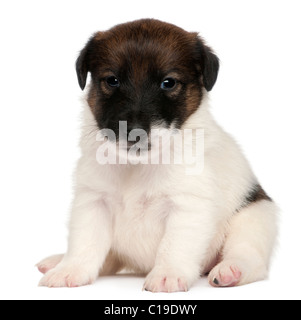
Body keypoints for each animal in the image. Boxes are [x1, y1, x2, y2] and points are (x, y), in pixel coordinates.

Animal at [37, 18, 276, 292]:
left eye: (168, 83)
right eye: (112, 80)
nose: (134, 132)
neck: (137, 164)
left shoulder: (188, 206)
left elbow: (174, 246)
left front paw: (167, 274)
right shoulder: (93, 202)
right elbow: (84, 243)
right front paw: (70, 269)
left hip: (254, 216)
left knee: (249, 255)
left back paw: (231, 270)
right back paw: (57, 260)